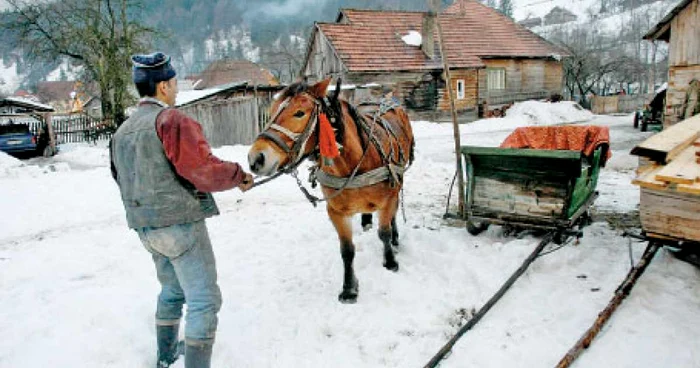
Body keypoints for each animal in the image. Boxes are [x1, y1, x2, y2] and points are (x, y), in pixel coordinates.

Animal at [249, 77, 416, 302]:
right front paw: (349, 288)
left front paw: (390, 261)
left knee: (394, 212)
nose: (255, 159)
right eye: (272, 110)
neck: (354, 164)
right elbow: (346, 250)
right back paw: (366, 220)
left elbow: (384, 232)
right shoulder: (336, 211)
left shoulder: (388, 197)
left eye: (299, 113)